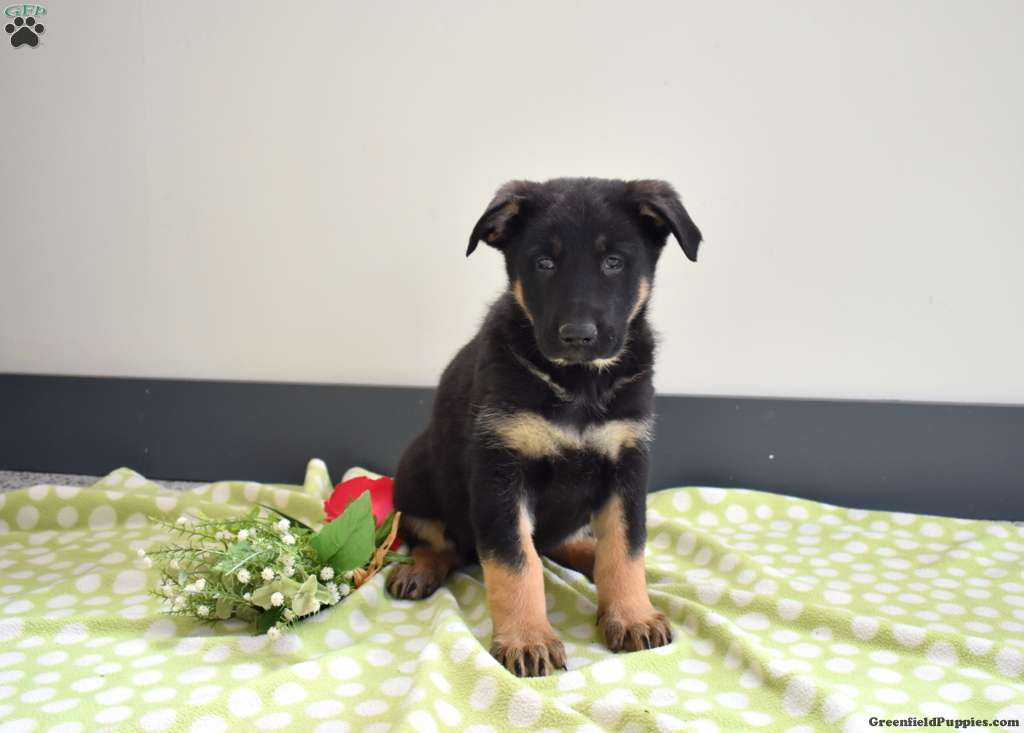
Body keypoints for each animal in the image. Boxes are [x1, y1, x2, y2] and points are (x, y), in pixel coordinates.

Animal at [385, 177, 702, 677]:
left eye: (614, 262)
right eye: (544, 263)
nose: (578, 336)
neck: (578, 383)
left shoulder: (627, 464)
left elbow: (625, 549)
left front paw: (631, 614)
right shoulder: (500, 470)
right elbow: (517, 562)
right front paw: (527, 638)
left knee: (567, 544)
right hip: (416, 468)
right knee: (438, 540)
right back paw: (420, 569)